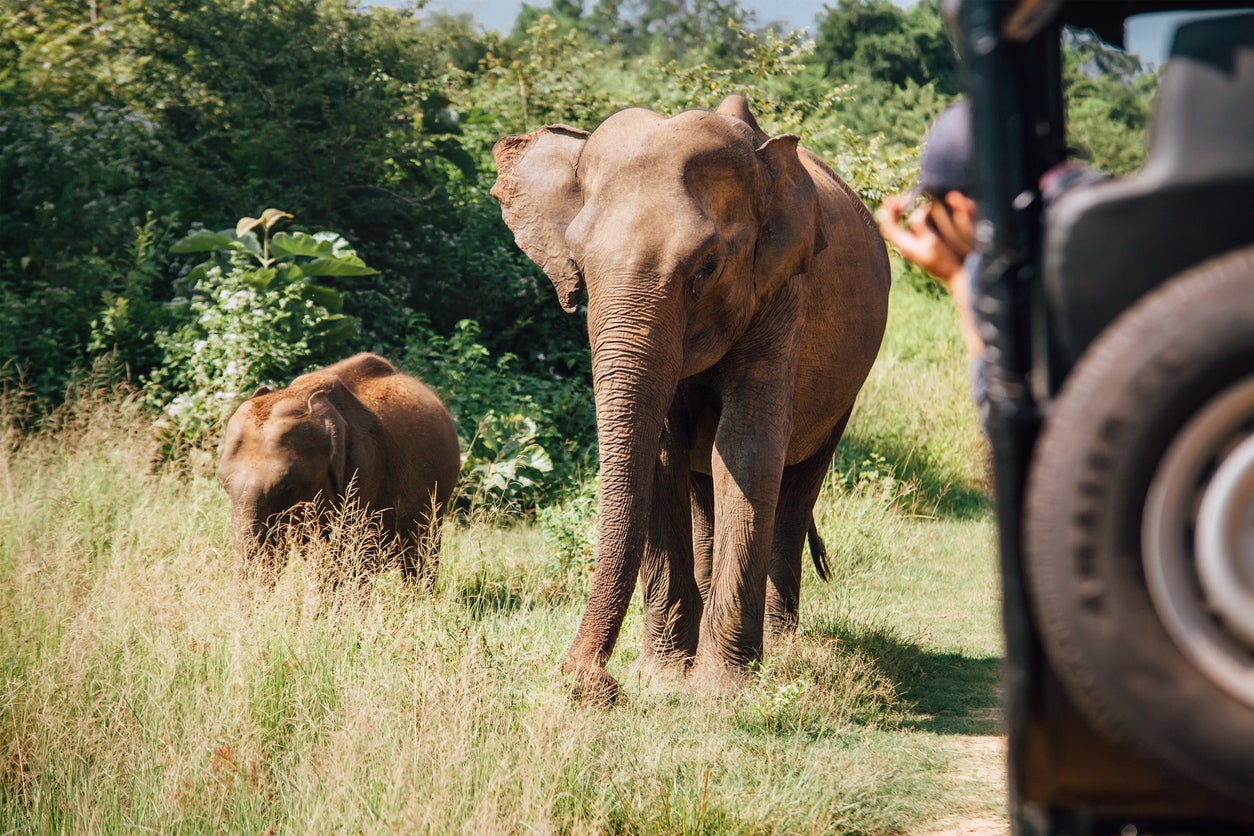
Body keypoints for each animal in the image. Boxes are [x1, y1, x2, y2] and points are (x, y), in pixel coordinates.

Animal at [489, 96, 892, 701]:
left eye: (707, 267)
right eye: (578, 266)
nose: (587, 681)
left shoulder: (782, 293)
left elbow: (747, 447)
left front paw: (721, 690)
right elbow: (662, 451)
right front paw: (663, 677)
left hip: (847, 387)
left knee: (797, 484)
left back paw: (783, 644)